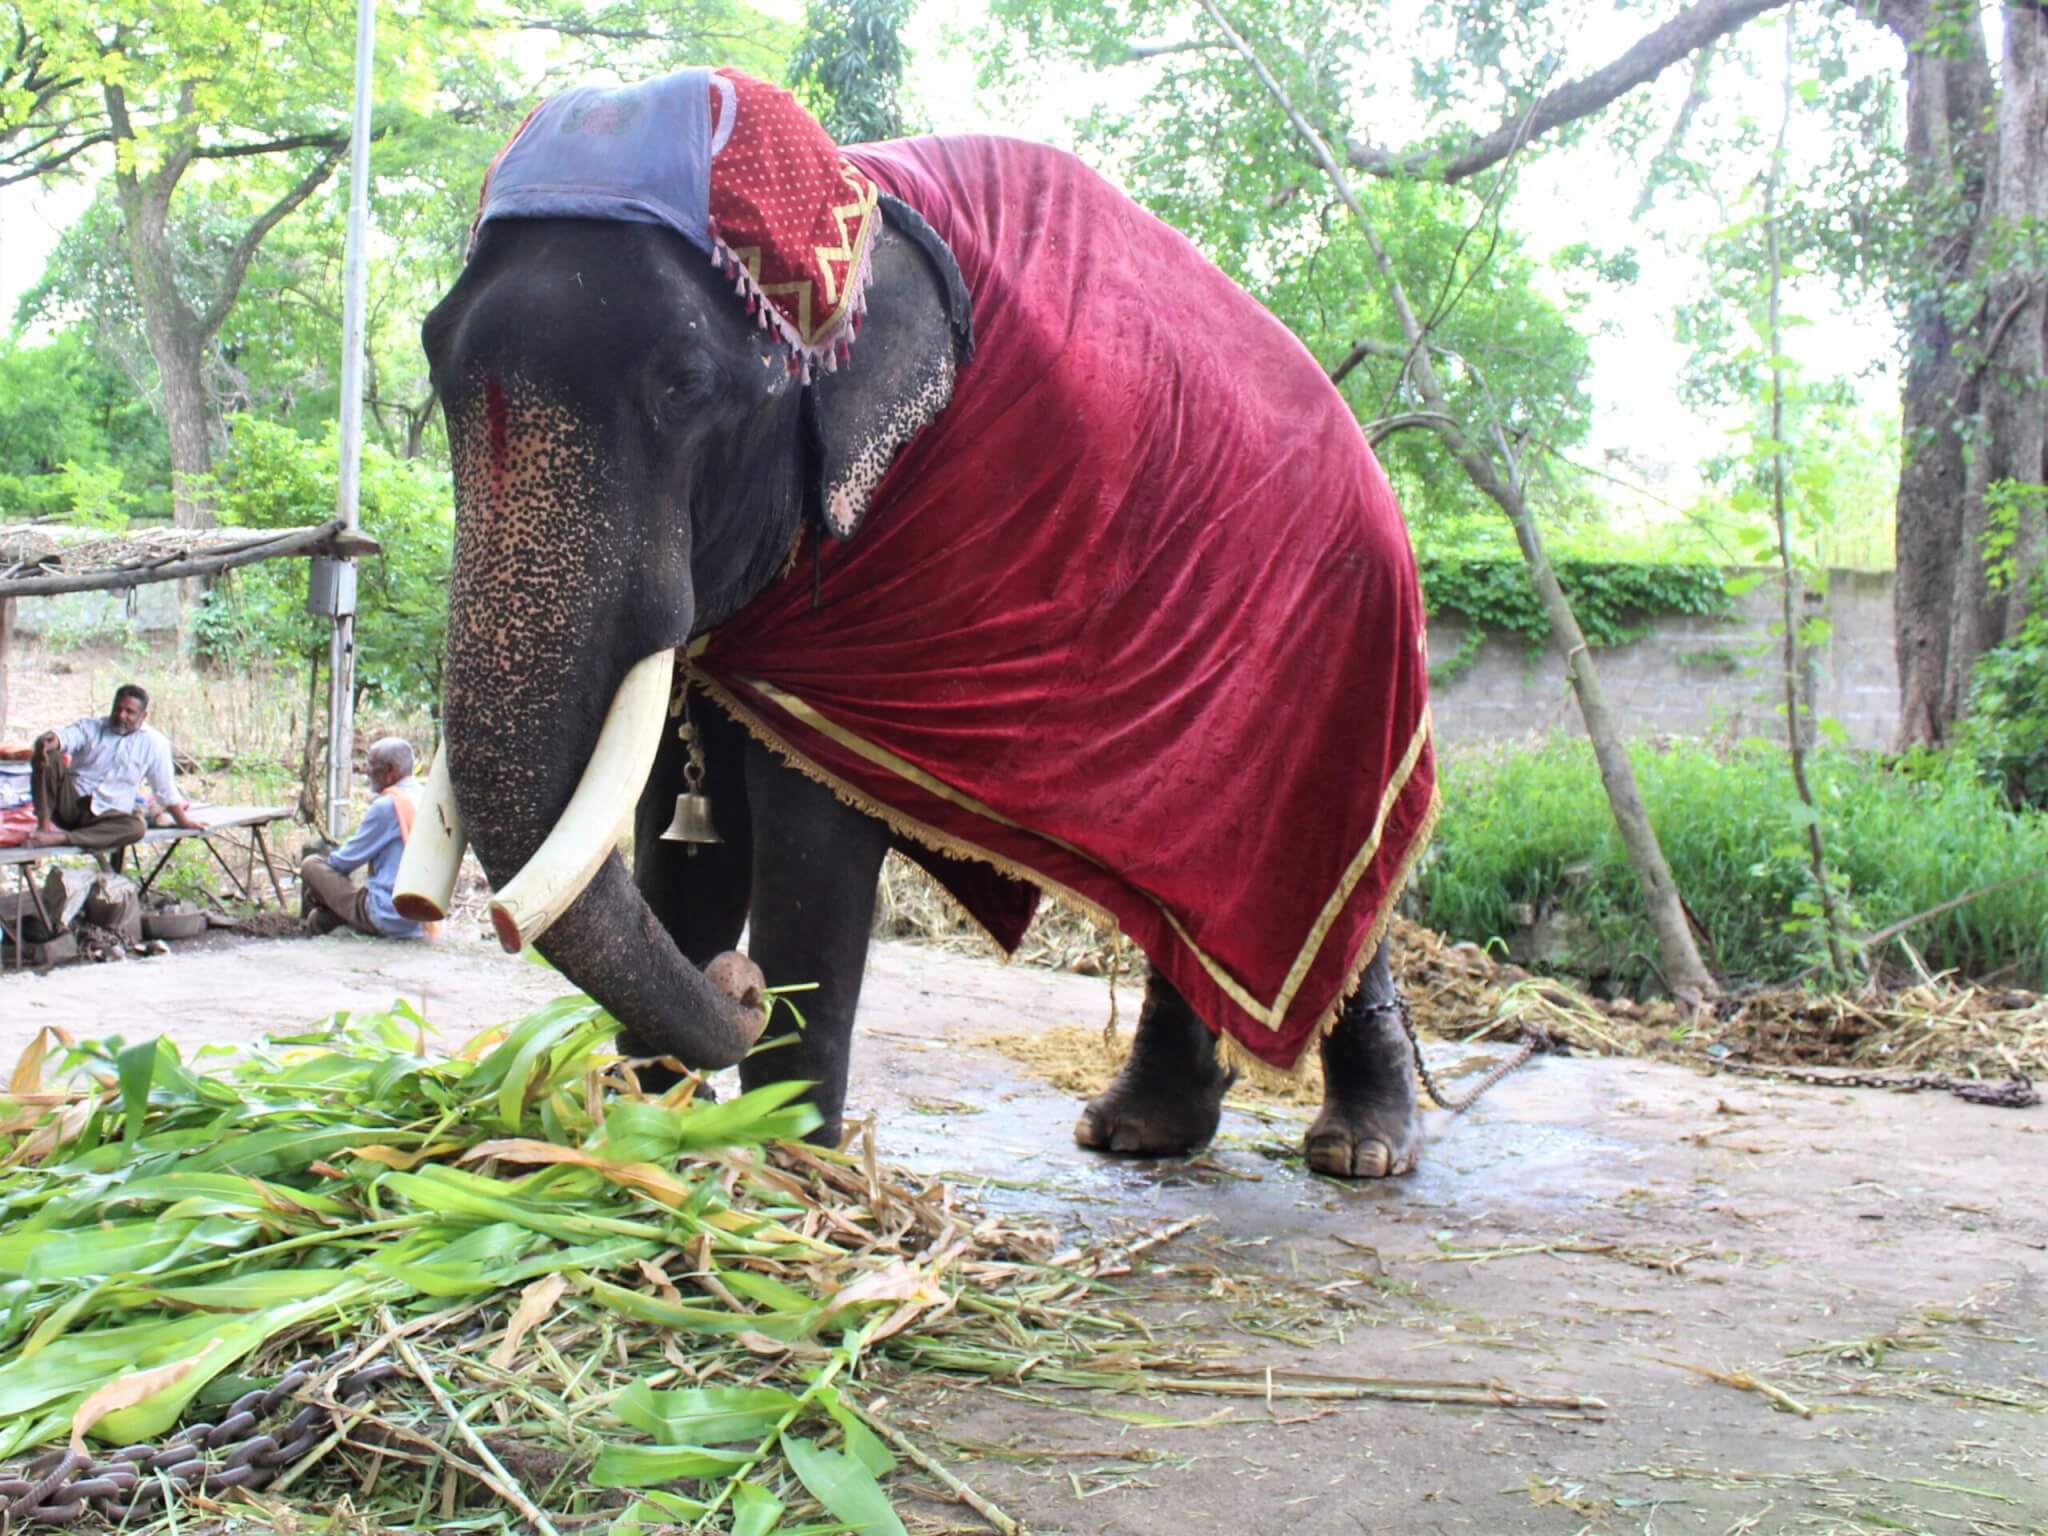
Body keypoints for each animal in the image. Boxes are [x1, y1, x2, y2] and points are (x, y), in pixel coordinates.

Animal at [417, 69, 1441, 1179]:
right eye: (432, 357)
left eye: (685, 386)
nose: (739, 984)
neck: (863, 207)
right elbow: (674, 818)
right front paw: (644, 1141)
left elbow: (811, 837)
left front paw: (791, 1171)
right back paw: (1139, 1131)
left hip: (1341, 668)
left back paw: (1357, 1149)